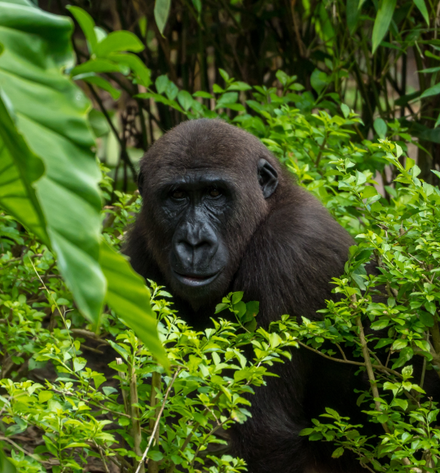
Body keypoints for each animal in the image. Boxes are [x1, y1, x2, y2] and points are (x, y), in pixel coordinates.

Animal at [125, 119, 366, 472]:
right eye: (177, 195)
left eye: (215, 193)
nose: (194, 243)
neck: (267, 210)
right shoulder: (138, 251)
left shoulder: (291, 249)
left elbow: (262, 432)